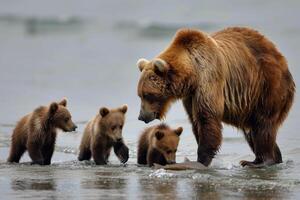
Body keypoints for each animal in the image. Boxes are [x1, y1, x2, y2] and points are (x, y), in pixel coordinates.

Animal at [137, 26, 296, 167]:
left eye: (148, 94)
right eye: (140, 94)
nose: (141, 116)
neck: (192, 74)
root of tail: (281, 59)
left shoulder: (209, 78)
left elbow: (207, 118)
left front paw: (201, 159)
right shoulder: (191, 96)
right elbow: (195, 121)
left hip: (268, 87)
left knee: (263, 125)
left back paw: (261, 161)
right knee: (253, 131)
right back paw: (269, 158)